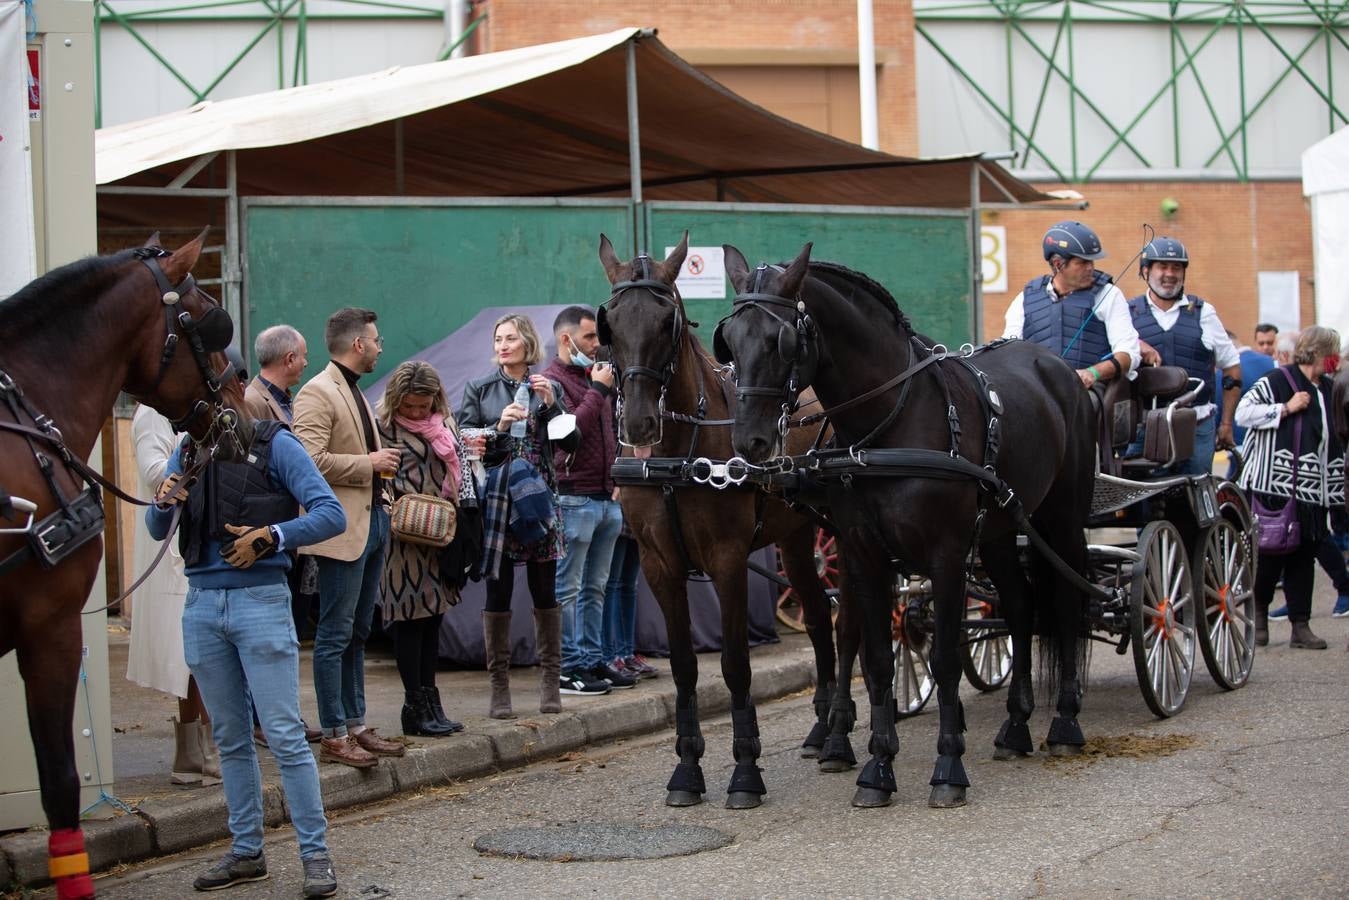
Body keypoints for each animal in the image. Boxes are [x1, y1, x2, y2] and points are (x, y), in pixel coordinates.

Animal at [717, 244, 1095, 809]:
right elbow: (875, 661)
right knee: (1021, 607)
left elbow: (944, 657)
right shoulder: (863, 555)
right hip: (1000, 531)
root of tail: (1058, 367)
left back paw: (1066, 723)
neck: (888, 426)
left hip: (1060, 520)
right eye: (730, 339)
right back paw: (1015, 727)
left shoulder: (946, 555)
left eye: (780, 339)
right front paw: (877, 768)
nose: (749, 441)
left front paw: (948, 767)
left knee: (1067, 605)